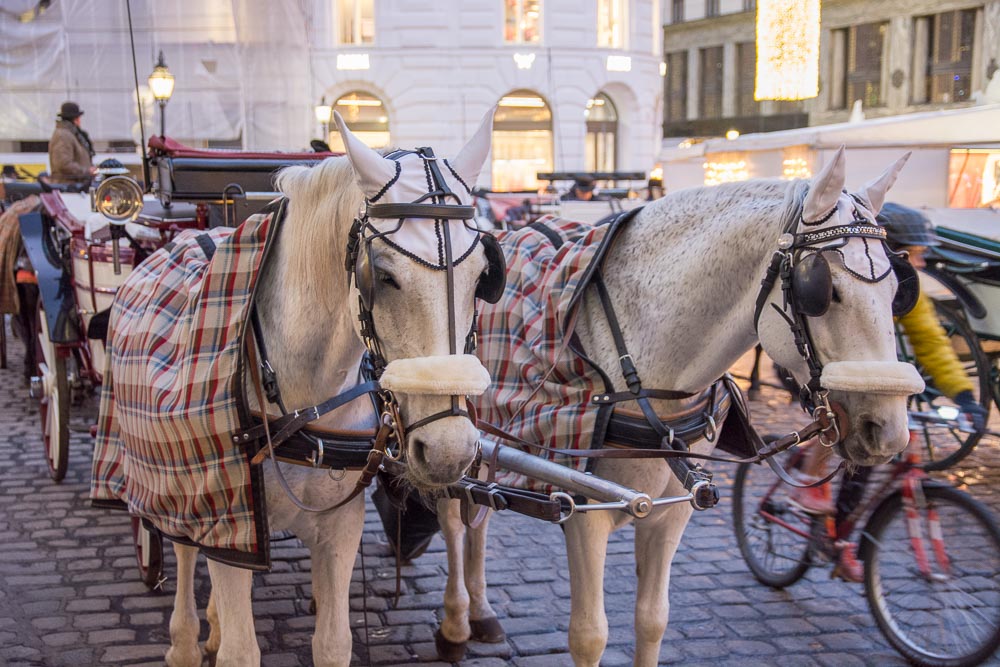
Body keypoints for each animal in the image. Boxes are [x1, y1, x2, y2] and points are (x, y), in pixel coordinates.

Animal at [139, 112, 498, 664]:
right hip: (181, 474)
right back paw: (183, 641)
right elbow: (240, 650)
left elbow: (333, 642)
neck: (304, 397)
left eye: (483, 277)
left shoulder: (338, 526)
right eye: (384, 276)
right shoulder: (229, 516)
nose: (448, 450)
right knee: (179, 543)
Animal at [438, 151, 920, 667]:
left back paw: (483, 612)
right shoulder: (584, 508)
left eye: (899, 292)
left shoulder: (672, 514)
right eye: (824, 290)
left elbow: (653, 619)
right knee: (453, 520)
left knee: (478, 515)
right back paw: (456, 623)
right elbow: (589, 635)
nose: (888, 432)